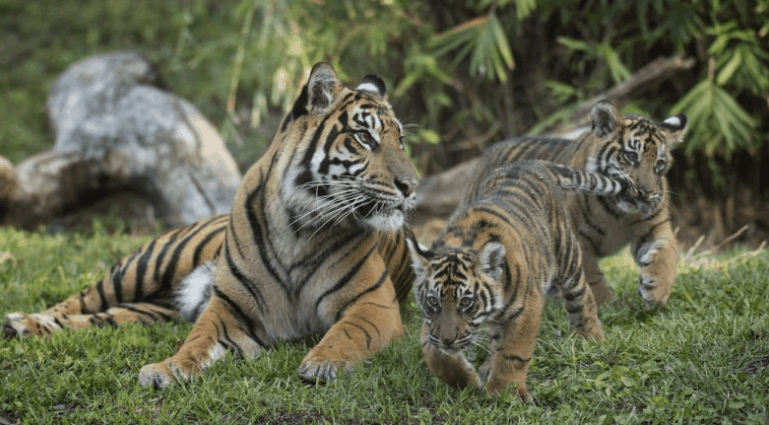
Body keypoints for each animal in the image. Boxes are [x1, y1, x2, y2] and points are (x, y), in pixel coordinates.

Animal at [3, 62, 419, 388]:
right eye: (364, 137)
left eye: (400, 140)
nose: (412, 185)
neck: (299, 227)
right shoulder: (230, 307)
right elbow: (197, 339)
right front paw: (168, 369)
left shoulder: (373, 304)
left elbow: (348, 333)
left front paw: (323, 362)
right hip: (145, 266)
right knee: (81, 299)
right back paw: (24, 321)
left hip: (148, 310)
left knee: (100, 318)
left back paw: (26, 327)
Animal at [407, 159, 637, 400]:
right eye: (433, 301)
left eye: (466, 302)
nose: (447, 340)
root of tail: (532, 163)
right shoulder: (432, 322)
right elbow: (437, 356)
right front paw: (466, 380)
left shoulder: (526, 307)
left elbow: (513, 352)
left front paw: (505, 392)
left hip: (566, 258)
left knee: (583, 297)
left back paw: (591, 338)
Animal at [466, 101, 688, 305]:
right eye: (631, 156)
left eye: (659, 164)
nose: (646, 193)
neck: (618, 212)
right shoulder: (576, 237)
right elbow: (590, 275)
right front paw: (605, 304)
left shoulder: (655, 228)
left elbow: (667, 254)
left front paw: (656, 289)